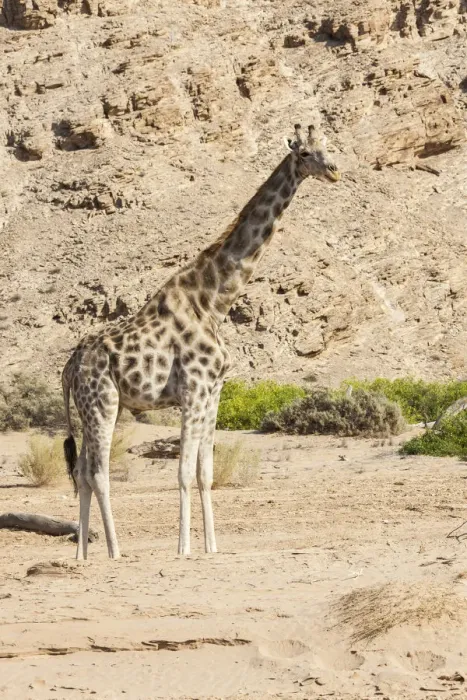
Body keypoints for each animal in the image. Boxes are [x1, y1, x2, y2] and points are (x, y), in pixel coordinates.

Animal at [62, 123, 341, 560]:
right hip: (101, 402)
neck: (214, 301)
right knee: (98, 472)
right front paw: (184, 548)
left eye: (327, 146)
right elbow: (181, 472)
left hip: (100, 406)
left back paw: (82, 555)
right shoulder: (193, 389)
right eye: (306, 153)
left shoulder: (214, 391)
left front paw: (211, 546)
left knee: (81, 472)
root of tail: (69, 366)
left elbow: (205, 472)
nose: (334, 171)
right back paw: (115, 551)